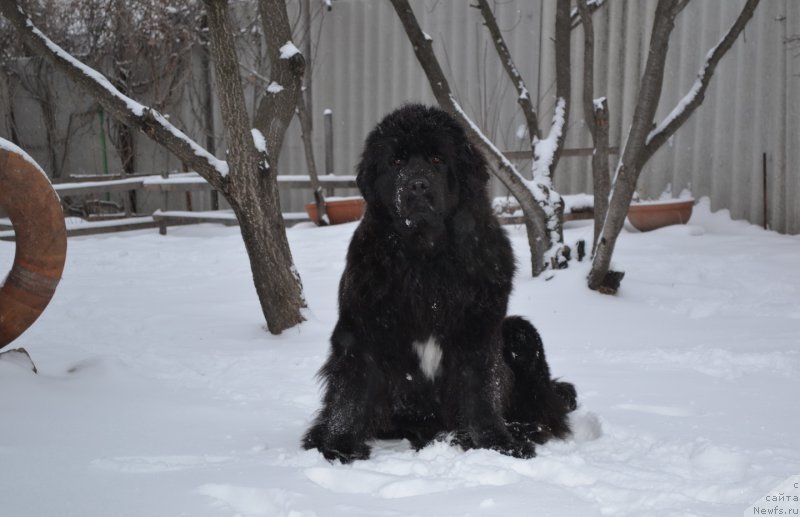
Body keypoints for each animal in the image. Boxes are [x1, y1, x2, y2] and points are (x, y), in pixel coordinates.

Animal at [304, 103, 576, 462]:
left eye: (436, 159)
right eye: (396, 162)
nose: (417, 186)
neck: (426, 260)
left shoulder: (478, 331)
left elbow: (481, 390)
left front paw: (498, 443)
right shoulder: (361, 327)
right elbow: (351, 390)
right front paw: (338, 444)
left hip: (521, 332)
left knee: (543, 407)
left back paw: (521, 429)